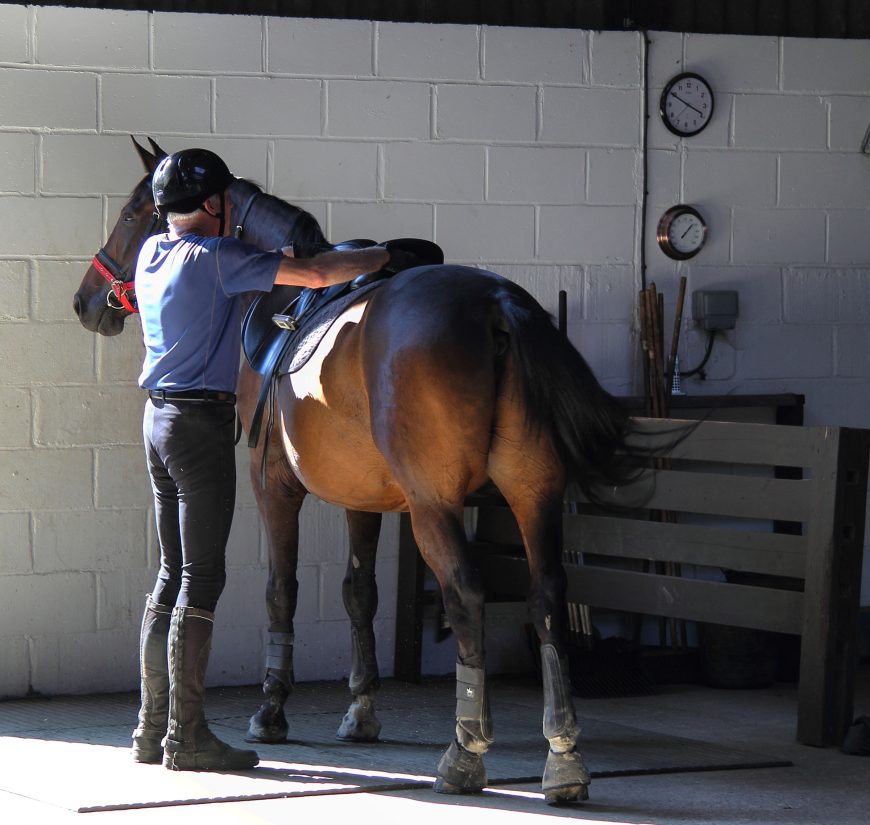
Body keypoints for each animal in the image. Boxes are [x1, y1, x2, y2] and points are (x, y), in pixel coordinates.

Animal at [74, 136, 651, 805]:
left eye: (133, 216)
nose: (85, 302)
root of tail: (496, 304)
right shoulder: (361, 497)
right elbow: (359, 592)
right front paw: (361, 710)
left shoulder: (272, 485)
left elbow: (281, 590)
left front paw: (272, 710)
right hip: (533, 495)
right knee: (549, 594)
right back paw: (563, 759)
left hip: (434, 507)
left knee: (467, 593)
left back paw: (465, 753)